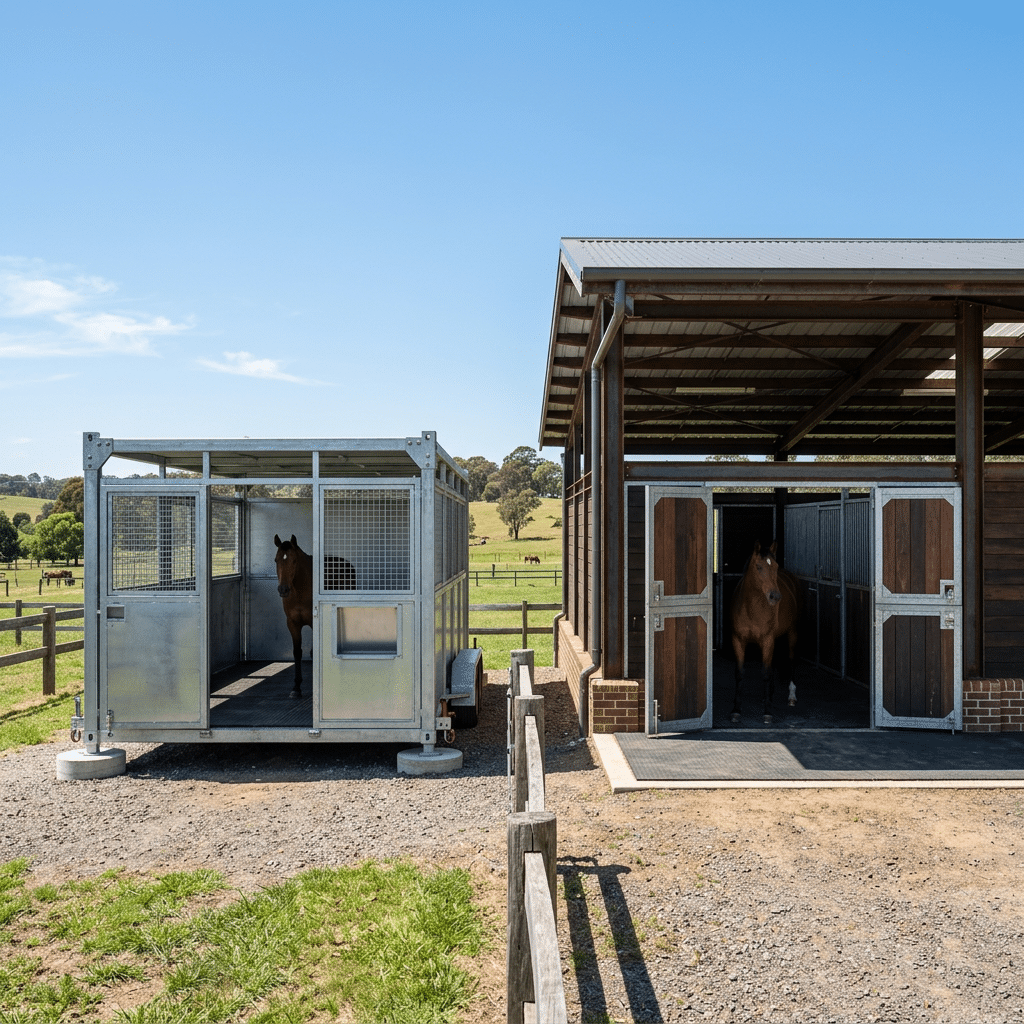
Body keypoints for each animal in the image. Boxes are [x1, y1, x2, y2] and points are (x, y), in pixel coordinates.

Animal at [273, 535, 356, 699]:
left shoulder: (313, 621)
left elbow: (313, 652)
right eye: (276, 560)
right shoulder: (292, 623)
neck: (300, 589)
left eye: (294, 560)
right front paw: (296, 687)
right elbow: (297, 652)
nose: (283, 589)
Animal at [730, 540, 799, 724]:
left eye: (775, 566)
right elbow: (739, 674)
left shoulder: (767, 640)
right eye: (758, 567)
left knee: (791, 660)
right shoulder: (738, 640)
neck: (751, 609)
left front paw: (767, 712)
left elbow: (766, 673)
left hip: (792, 633)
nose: (775, 596)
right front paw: (736, 710)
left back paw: (791, 696)